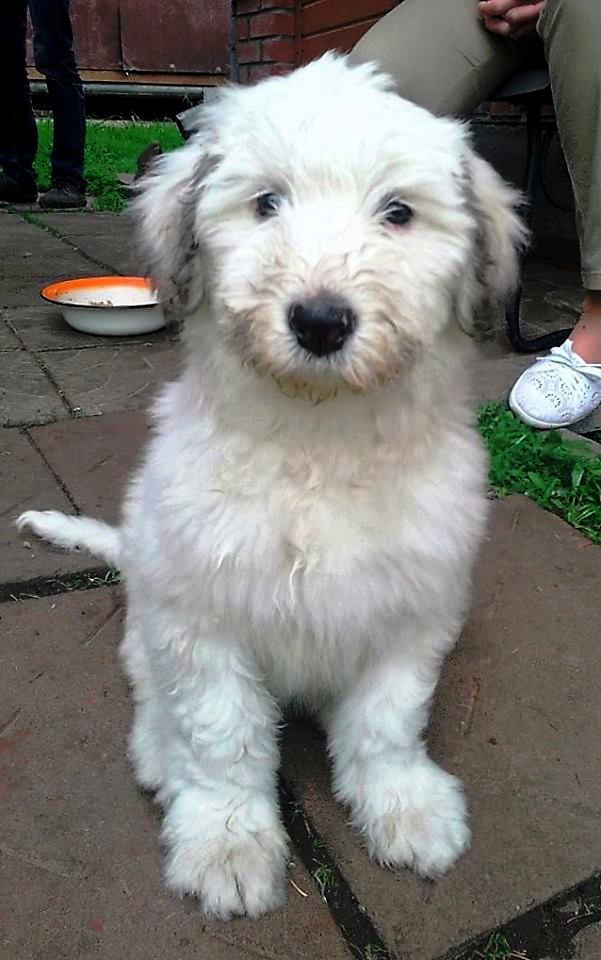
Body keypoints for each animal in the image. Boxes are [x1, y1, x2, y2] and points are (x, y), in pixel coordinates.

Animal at [18, 54, 525, 919]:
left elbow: (386, 724)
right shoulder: (200, 621)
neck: (317, 440)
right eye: (265, 204)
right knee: (148, 687)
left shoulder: (409, 612)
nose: (319, 322)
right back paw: (156, 753)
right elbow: (222, 737)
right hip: (150, 607)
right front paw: (226, 843)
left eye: (398, 212)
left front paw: (404, 807)